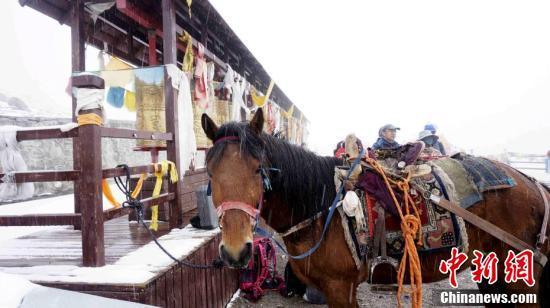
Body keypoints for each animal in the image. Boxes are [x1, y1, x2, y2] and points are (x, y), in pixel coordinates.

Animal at [203, 109, 550, 306]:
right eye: (210, 172)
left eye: (257, 169)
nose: (236, 251)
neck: (322, 208)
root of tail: (532, 182)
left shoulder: (339, 288)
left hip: (520, 276)